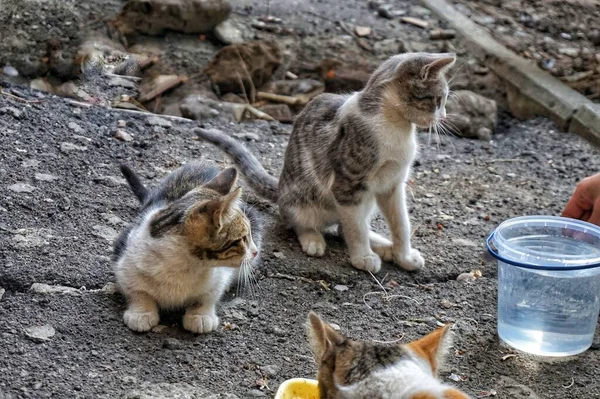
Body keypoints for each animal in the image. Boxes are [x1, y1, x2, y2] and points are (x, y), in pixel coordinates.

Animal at [112, 162, 260, 334]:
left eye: (249, 235)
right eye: (242, 238)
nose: (255, 252)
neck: (185, 266)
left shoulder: (219, 277)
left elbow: (208, 295)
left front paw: (200, 315)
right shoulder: (124, 257)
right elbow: (136, 290)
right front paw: (142, 312)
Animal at [197, 51, 454, 274]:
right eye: (438, 99)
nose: (443, 117)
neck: (395, 127)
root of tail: (280, 188)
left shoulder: (392, 184)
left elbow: (401, 223)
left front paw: (404, 256)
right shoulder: (347, 184)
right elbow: (355, 228)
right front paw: (362, 256)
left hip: (367, 198)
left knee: (343, 226)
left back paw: (383, 245)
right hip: (304, 200)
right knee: (301, 221)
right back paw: (313, 239)